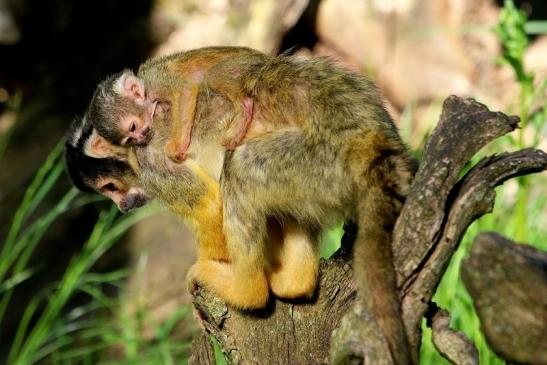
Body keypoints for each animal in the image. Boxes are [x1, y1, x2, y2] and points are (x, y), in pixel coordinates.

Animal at [84, 45, 266, 162]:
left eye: (133, 127)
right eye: (130, 140)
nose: (140, 138)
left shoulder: (155, 81)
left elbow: (184, 90)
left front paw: (177, 146)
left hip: (244, 63)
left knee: (212, 76)